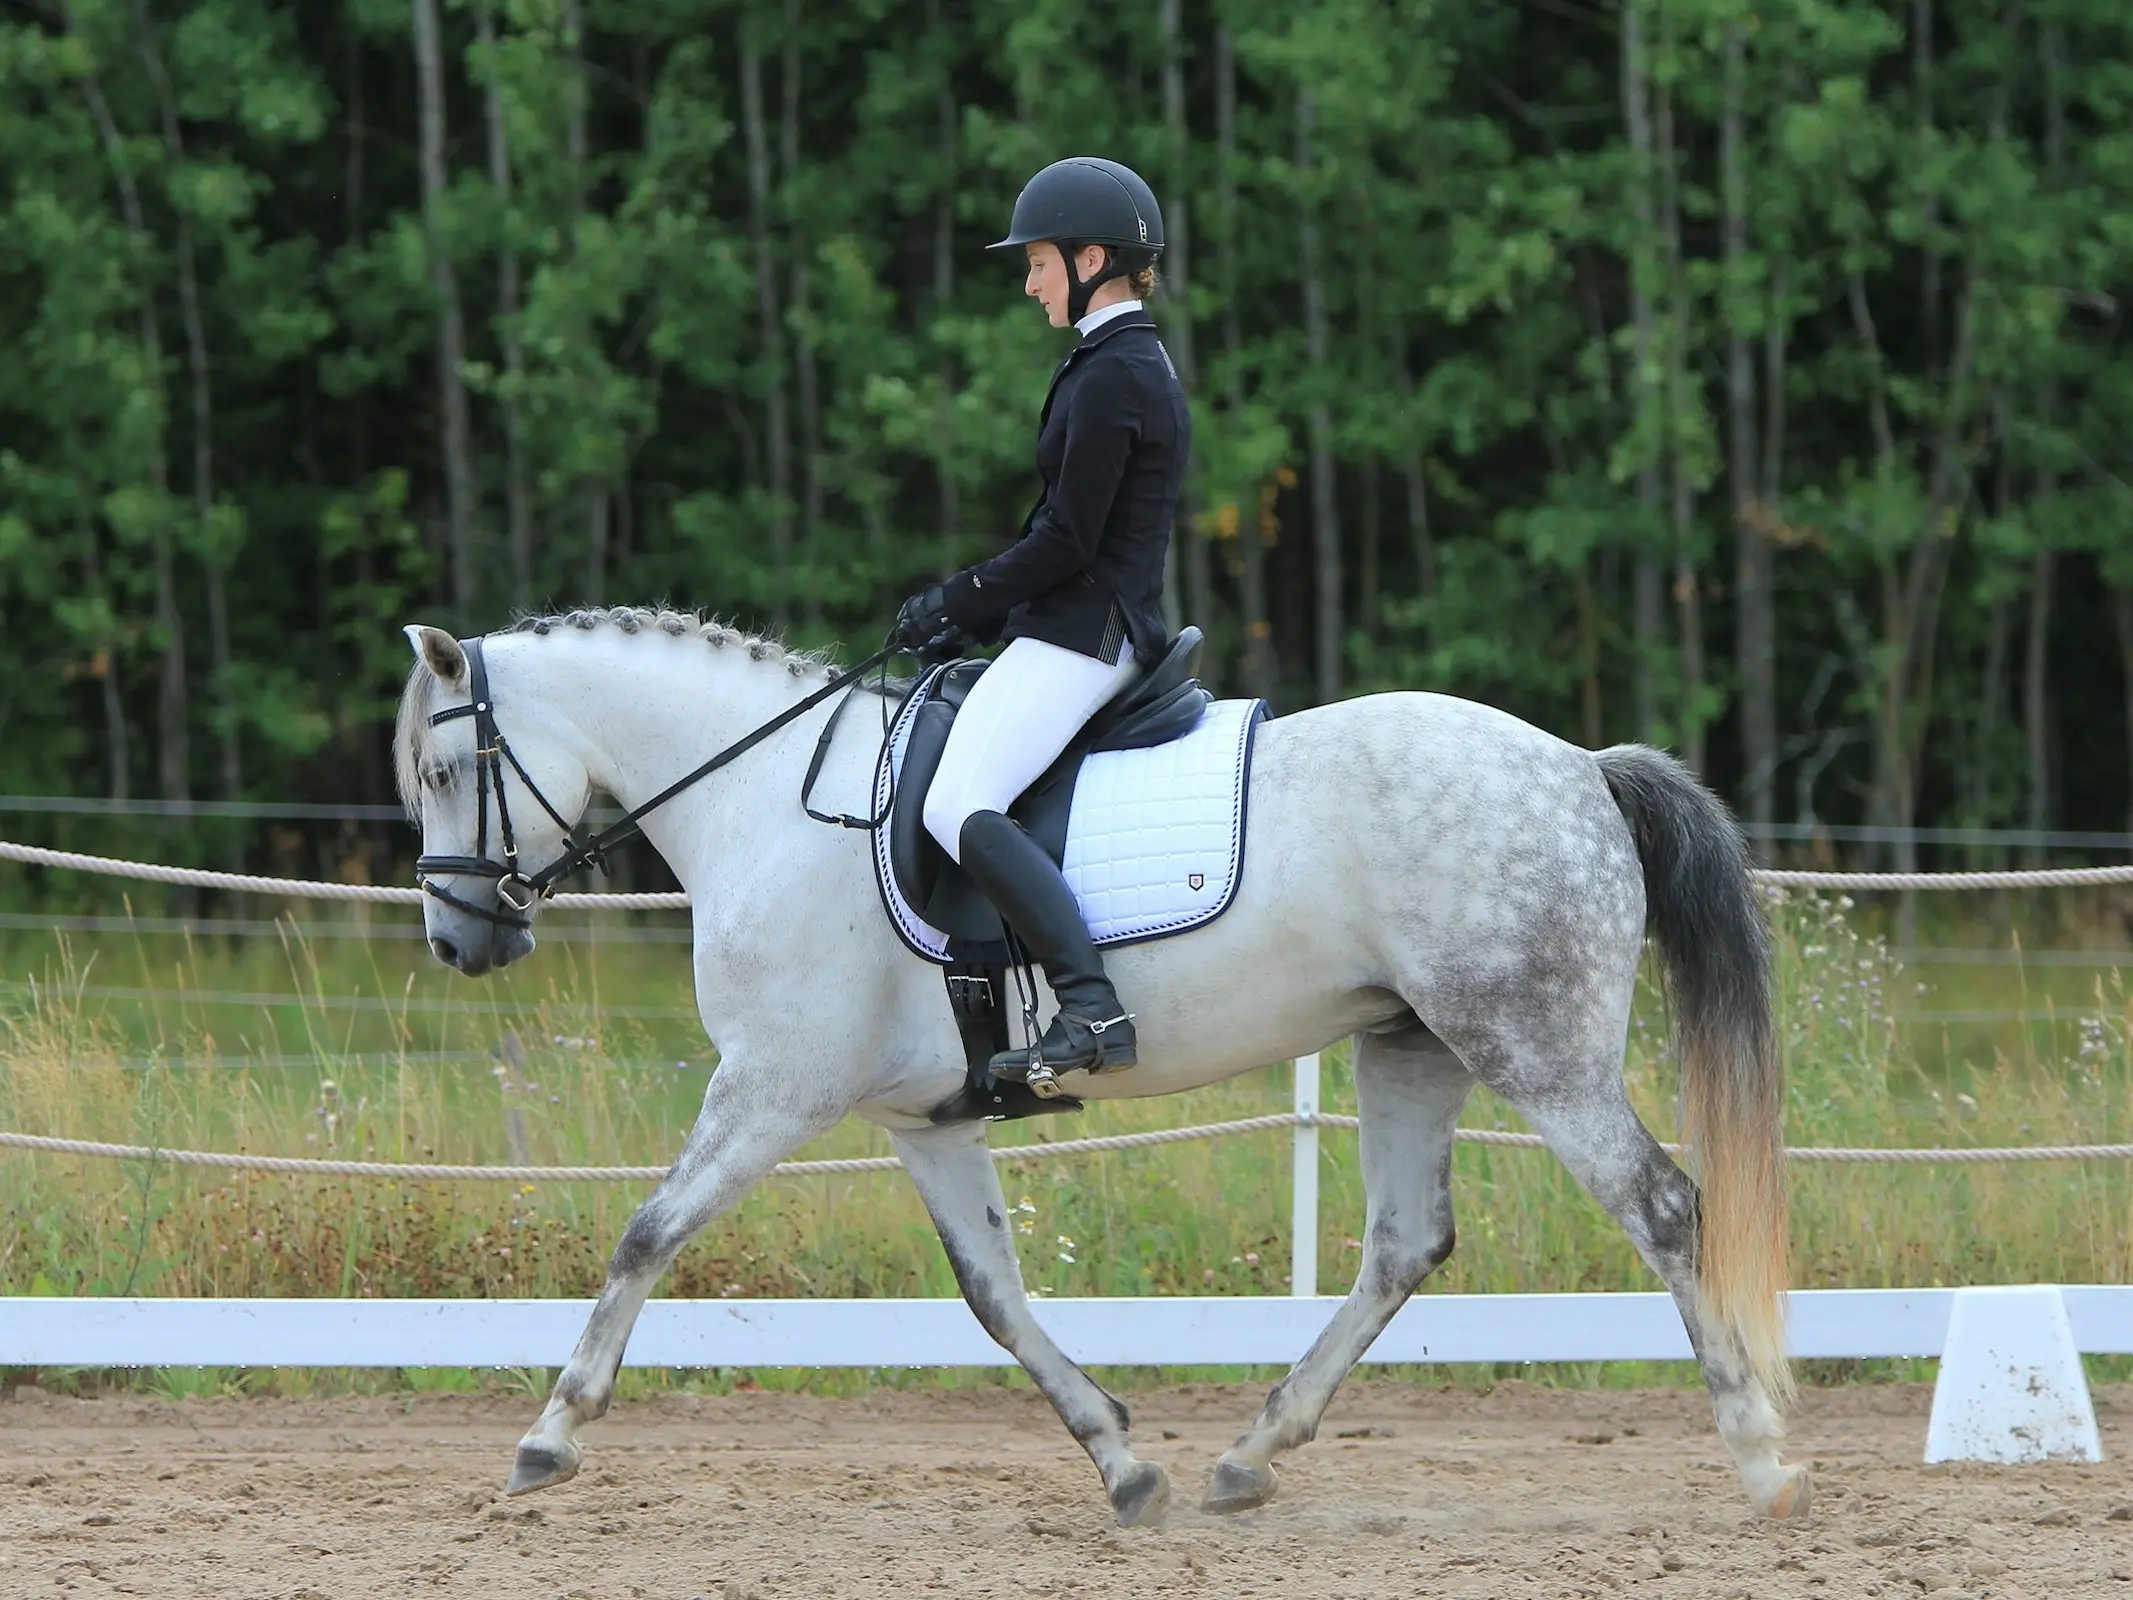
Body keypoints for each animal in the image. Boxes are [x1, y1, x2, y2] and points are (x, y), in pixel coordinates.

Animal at [396, 610, 1800, 1527]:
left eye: (446, 768)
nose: (460, 940)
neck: (765, 803)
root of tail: (1582, 768)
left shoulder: (771, 1091)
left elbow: (646, 1231)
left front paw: (548, 1437)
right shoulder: (925, 1118)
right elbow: (994, 1296)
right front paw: (1124, 1463)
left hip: (1532, 1044)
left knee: (1664, 1208)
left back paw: (1762, 1457)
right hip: (1411, 1043)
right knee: (1406, 1244)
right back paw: (1249, 1456)